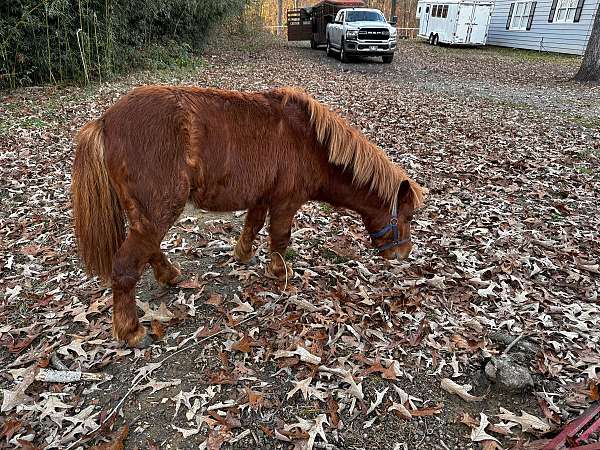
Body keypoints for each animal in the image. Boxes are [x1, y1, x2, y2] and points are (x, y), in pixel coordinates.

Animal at [72, 86, 424, 346]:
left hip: (147, 216)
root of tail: (104, 122)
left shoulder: (261, 198)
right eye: (407, 218)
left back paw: (169, 275)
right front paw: (280, 273)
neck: (311, 142)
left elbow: (252, 226)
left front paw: (242, 255)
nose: (403, 253)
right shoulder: (285, 203)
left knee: (149, 250)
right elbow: (280, 238)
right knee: (126, 266)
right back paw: (130, 330)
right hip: (158, 211)